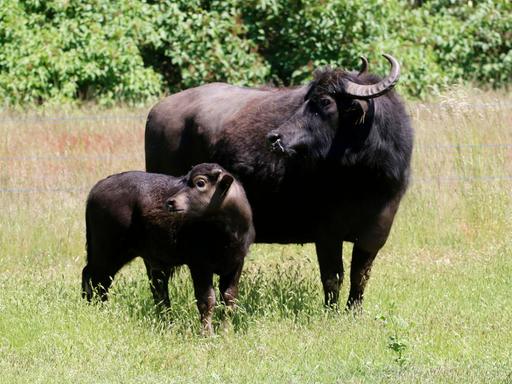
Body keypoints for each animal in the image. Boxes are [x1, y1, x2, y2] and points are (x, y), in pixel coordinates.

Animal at [81, 164, 254, 332]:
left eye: (200, 182)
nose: (171, 202)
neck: (227, 234)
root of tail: (97, 188)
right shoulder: (199, 265)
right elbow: (207, 300)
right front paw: (207, 333)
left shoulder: (236, 264)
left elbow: (229, 298)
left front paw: (226, 331)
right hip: (106, 250)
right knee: (93, 276)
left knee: (105, 280)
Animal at [144, 54, 412, 308]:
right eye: (306, 99)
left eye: (325, 102)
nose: (275, 137)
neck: (361, 179)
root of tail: (157, 111)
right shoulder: (326, 233)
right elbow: (332, 276)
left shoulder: (376, 232)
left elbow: (360, 275)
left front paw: (353, 310)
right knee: (156, 270)